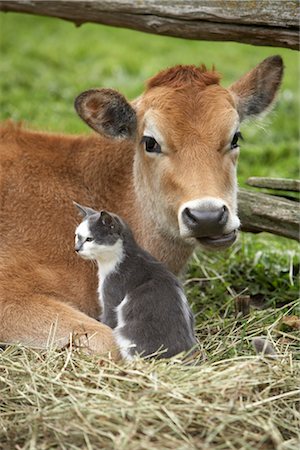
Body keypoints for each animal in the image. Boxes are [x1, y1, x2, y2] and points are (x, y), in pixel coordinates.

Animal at [74, 202, 197, 360]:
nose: (77, 248)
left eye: (89, 239)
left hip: (127, 336)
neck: (117, 260)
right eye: (77, 236)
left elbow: (108, 321)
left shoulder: (112, 293)